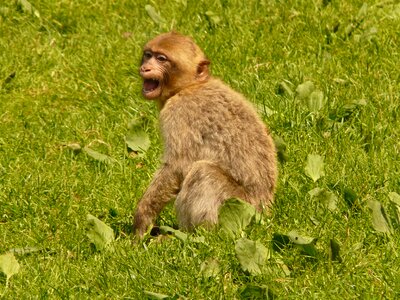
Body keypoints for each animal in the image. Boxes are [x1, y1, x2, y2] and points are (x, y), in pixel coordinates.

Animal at [133, 31, 276, 237]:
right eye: (148, 55)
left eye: (161, 59)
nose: (145, 67)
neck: (190, 86)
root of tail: (265, 210)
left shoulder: (178, 112)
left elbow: (176, 167)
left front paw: (142, 219)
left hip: (241, 207)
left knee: (203, 172)